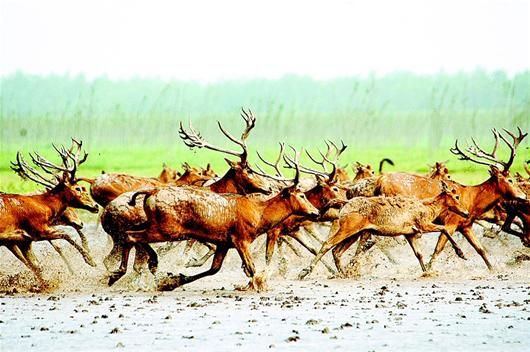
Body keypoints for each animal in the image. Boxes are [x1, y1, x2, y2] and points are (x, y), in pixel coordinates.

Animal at [0, 140, 98, 286]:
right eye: (79, 188)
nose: (95, 206)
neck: (44, 206)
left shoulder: (23, 240)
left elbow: (36, 265)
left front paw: (45, 285)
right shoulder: (37, 230)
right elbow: (66, 236)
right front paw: (90, 260)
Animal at [108, 150, 316, 290]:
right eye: (301, 195)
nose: (315, 212)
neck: (259, 213)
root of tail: (151, 193)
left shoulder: (224, 243)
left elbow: (214, 269)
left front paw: (173, 280)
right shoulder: (241, 240)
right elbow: (251, 268)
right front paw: (253, 286)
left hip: (152, 224)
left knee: (129, 234)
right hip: (166, 230)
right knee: (131, 236)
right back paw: (117, 274)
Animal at [296, 183, 466, 280]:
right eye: (456, 196)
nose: (465, 212)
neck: (429, 208)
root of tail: (345, 203)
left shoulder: (410, 234)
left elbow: (419, 254)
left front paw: (426, 272)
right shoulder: (423, 225)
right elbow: (444, 229)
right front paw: (461, 253)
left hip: (355, 233)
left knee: (337, 251)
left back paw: (344, 273)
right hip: (348, 228)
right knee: (327, 244)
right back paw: (304, 272)